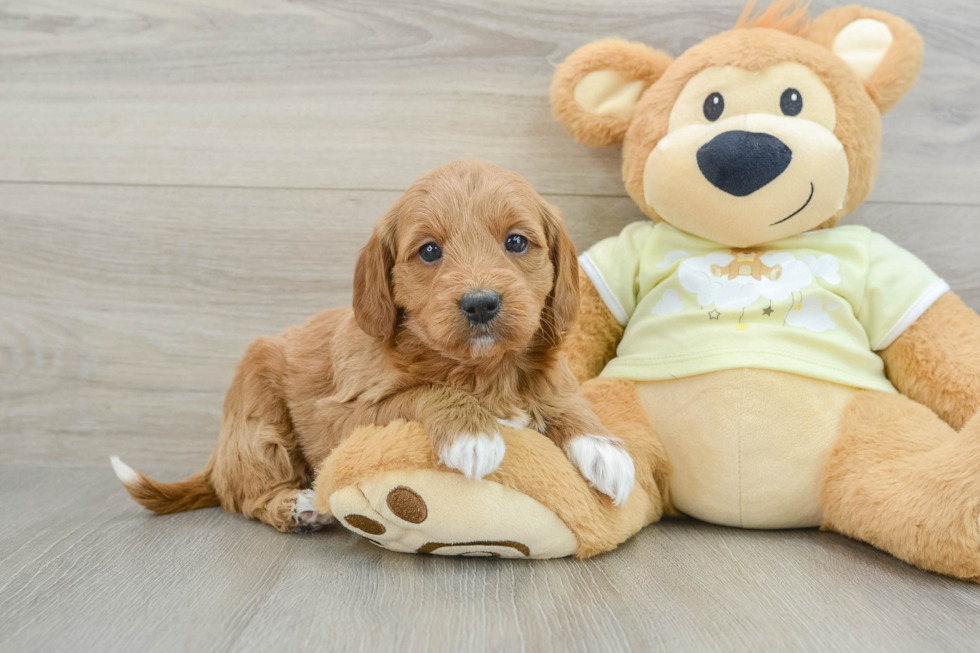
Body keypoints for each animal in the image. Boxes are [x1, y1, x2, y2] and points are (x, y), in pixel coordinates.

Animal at [113, 160, 636, 532]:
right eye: (429, 251)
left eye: (516, 242)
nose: (481, 304)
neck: (481, 369)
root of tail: (218, 455)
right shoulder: (344, 415)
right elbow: (424, 392)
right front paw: (473, 432)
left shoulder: (549, 373)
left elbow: (564, 397)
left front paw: (603, 446)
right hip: (259, 414)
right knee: (242, 495)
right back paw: (298, 507)